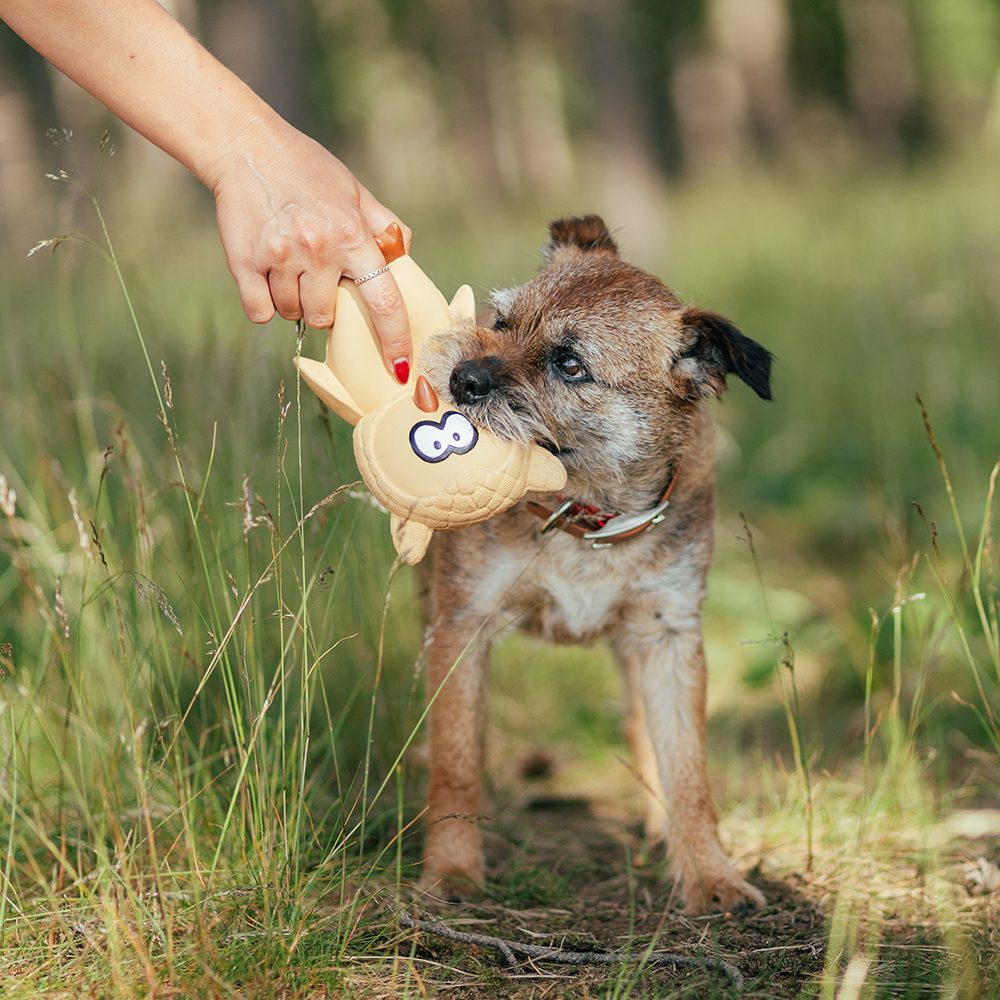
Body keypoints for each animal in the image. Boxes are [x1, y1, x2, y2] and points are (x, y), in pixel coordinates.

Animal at [414, 217, 772, 916]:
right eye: (501, 322)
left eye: (570, 364)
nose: (464, 376)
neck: (588, 514)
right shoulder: (461, 623)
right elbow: (455, 759)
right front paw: (452, 872)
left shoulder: (668, 636)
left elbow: (687, 768)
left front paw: (710, 874)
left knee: (641, 727)